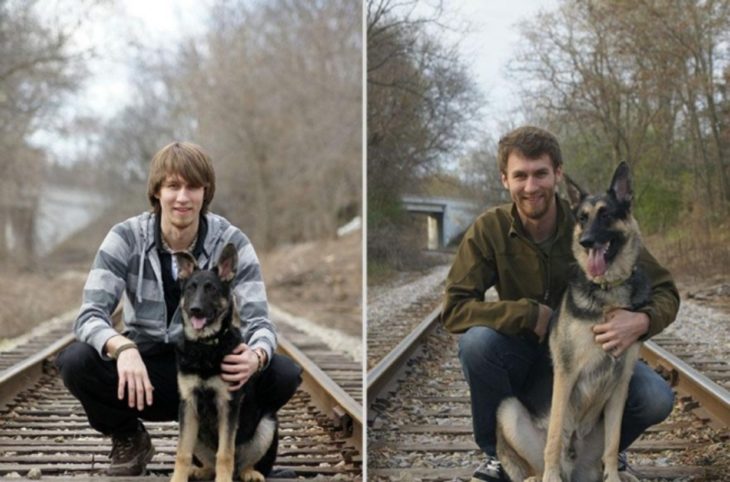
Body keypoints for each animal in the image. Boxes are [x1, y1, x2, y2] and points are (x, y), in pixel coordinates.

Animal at [169, 245, 278, 482]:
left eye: (211, 289)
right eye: (190, 289)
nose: (195, 309)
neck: (206, 346)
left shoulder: (227, 405)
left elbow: (225, 453)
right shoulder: (188, 404)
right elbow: (182, 452)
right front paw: (178, 478)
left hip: (267, 424)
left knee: (240, 460)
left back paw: (250, 472)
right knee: (208, 461)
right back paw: (200, 470)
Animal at [498, 163, 644, 482]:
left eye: (606, 214)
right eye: (582, 218)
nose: (585, 241)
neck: (605, 291)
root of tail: (574, 466)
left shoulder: (620, 385)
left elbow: (614, 443)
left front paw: (614, 476)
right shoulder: (566, 375)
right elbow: (554, 436)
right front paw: (552, 477)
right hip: (508, 409)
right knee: (535, 462)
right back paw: (540, 476)